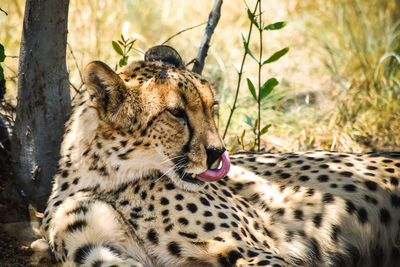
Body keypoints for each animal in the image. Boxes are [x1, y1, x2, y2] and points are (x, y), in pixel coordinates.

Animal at [41, 45, 400, 266]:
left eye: (211, 107)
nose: (218, 153)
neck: (103, 179)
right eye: (176, 113)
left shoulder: (254, 248)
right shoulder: (96, 249)